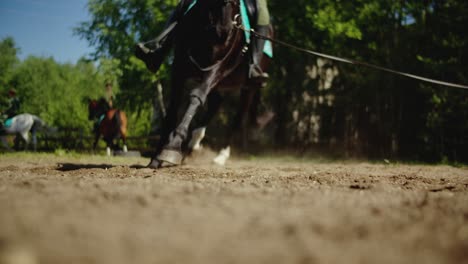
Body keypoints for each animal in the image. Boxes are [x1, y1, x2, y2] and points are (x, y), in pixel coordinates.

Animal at [150, 0, 272, 168]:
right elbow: (172, 109)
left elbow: (197, 97)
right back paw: (194, 144)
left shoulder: (216, 68)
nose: (224, 31)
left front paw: (172, 147)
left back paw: (221, 156)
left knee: (239, 117)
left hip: (248, 87)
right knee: (216, 103)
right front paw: (157, 157)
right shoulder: (179, 66)